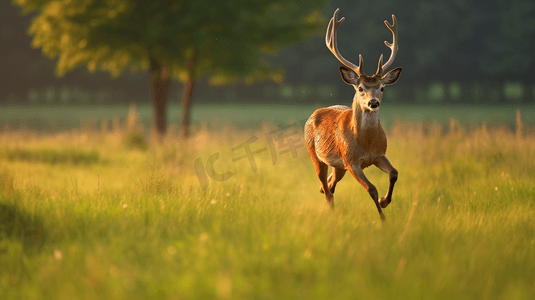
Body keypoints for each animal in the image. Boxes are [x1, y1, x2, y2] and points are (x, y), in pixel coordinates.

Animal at [306, 8, 402, 220]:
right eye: (360, 88)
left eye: (382, 87)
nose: (373, 103)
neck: (366, 144)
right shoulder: (351, 161)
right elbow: (372, 188)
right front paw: (383, 217)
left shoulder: (379, 154)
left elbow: (394, 173)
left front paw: (385, 201)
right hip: (315, 154)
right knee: (326, 189)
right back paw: (331, 210)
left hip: (338, 165)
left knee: (330, 185)